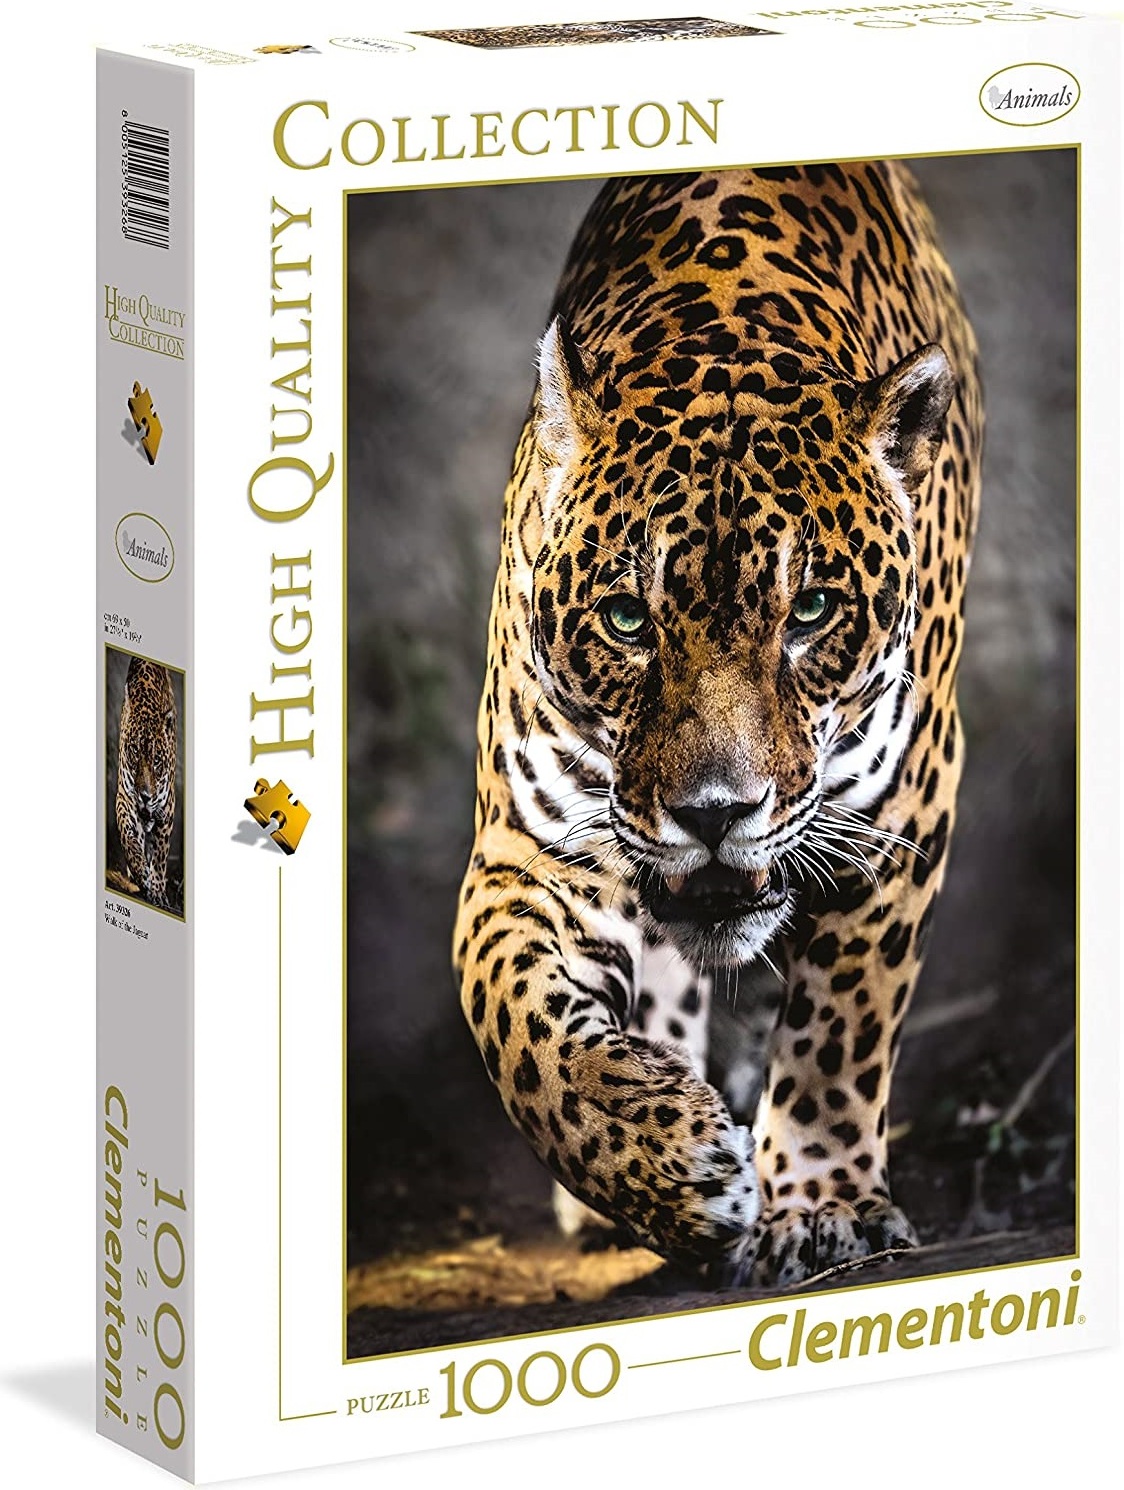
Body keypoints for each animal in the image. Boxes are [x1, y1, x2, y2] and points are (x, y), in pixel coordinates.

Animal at [454, 162, 983, 1287]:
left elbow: (840, 1025)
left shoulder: (901, 809)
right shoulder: (530, 848)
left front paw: (820, 1205)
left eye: (811, 612)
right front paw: (667, 1164)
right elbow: (515, 1021)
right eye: (626, 619)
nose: (713, 813)